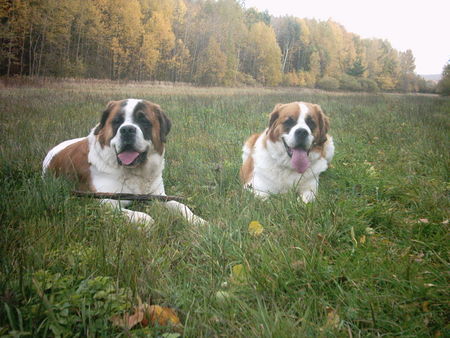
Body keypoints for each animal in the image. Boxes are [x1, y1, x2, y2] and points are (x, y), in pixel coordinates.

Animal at [43, 99, 205, 228]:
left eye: (143, 121)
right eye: (117, 121)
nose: (127, 129)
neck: (135, 173)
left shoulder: (159, 196)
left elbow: (180, 205)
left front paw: (197, 221)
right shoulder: (105, 201)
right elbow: (144, 217)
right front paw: (149, 224)